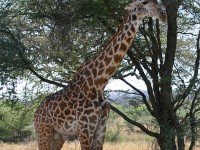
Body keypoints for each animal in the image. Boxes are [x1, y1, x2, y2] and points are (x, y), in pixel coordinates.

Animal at [34, 0, 167, 149]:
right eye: (144, 2)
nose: (163, 15)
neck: (99, 83)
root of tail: (35, 113)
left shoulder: (101, 127)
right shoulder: (85, 129)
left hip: (58, 136)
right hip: (43, 132)